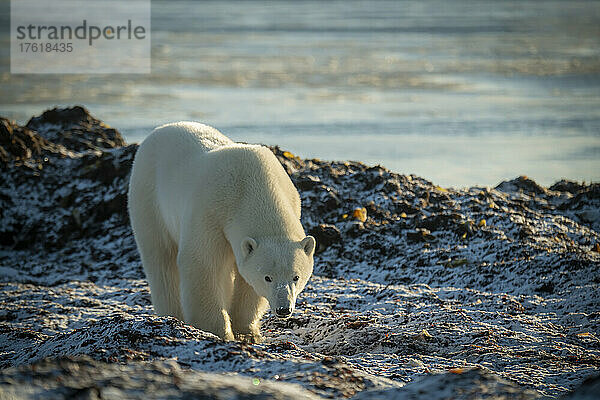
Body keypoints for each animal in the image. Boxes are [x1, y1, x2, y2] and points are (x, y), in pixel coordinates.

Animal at [129, 122, 316, 340]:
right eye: (268, 277)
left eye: (296, 277)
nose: (284, 309)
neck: (253, 184)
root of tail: (161, 129)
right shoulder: (210, 211)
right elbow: (202, 263)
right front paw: (219, 331)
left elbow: (246, 282)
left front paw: (248, 331)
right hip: (149, 199)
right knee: (161, 258)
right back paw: (171, 315)